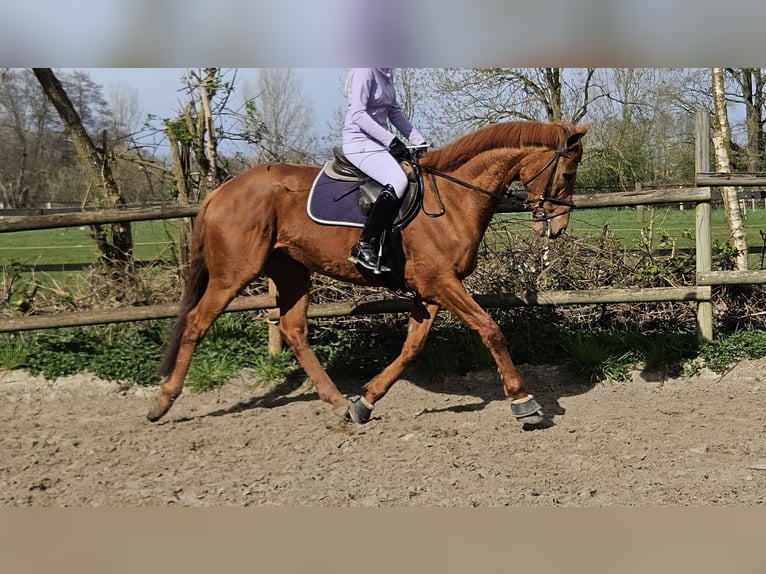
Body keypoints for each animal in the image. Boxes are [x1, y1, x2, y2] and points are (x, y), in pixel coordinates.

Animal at [147, 120, 589, 426]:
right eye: (568, 174)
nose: (557, 227)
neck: (452, 199)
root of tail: (222, 191)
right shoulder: (442, 284)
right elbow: (490, 329)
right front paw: (524, 403)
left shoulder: (429, 291)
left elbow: (411, 349)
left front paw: (365, 401)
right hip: (233, 274)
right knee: (195, 323)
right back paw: (162, 402)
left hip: (291, 272)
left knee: (293, 330)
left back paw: (337, 402)